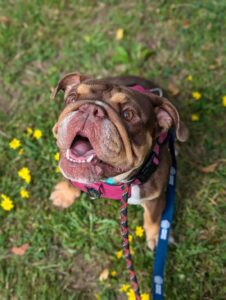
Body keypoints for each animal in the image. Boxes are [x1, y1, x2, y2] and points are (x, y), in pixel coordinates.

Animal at [50, 74, 188, 250]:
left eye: (128, 114)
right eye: (72, 98)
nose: (90, 109)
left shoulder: (154, 199)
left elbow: (153, 218)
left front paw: (156, 236)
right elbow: (70, 179)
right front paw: (64, 194)